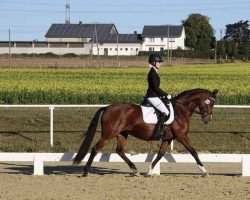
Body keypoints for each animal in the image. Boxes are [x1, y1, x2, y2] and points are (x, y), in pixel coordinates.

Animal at [73, 88, 218, 177]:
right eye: (210, 103)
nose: (208, 119)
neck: (180, 110)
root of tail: (107, 107)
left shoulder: (168, 138)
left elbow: (160, 154)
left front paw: (150, 171)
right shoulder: (182, 136)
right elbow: (193, 152)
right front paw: (204, 171)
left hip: (122, 133)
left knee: (120, 151)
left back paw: (135, 170)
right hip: (108, 134)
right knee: (95, 149)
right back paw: (85, 172)